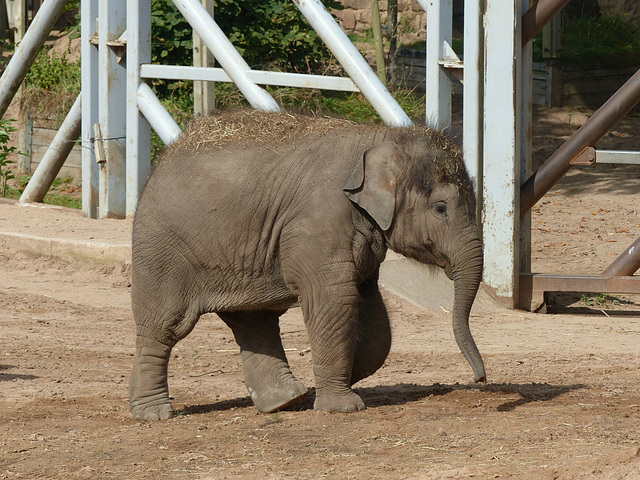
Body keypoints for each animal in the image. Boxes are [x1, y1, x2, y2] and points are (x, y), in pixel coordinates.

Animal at [130, 109, 484, 420]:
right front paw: (342, 407)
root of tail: (162, 159)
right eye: (441, 209)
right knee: (164, 325)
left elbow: (373, 314)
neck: (383, 137)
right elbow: (334, 298)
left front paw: (339, 380)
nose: (479, 380)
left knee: (254, 320)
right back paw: (154, 414)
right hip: (161, 250)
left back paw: (284, 401)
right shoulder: (319, 222)